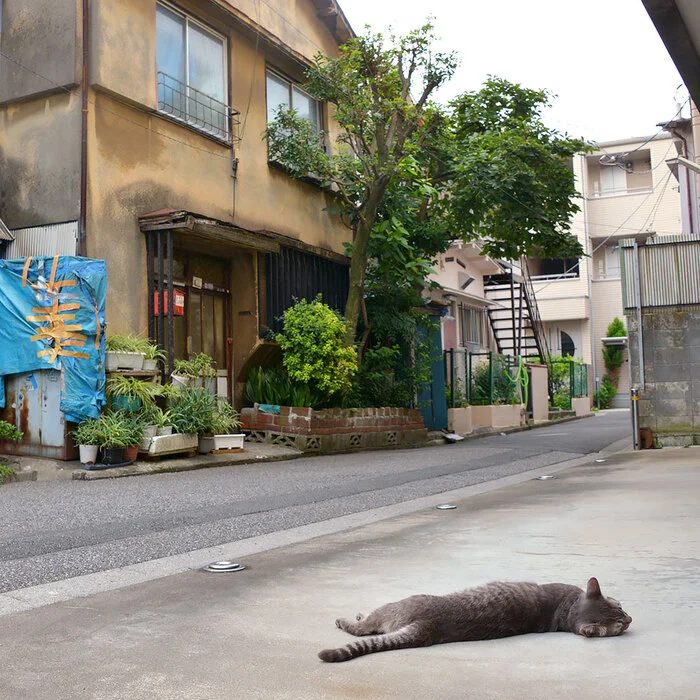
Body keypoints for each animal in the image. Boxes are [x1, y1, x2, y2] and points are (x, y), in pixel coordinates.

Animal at [320, 576, 632, 664]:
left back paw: (349, 619)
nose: (630, 619)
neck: (567, 610)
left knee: (364, 628)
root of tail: (428, 628)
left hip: (396, 605)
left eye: (620, 622)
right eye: (620, 608)